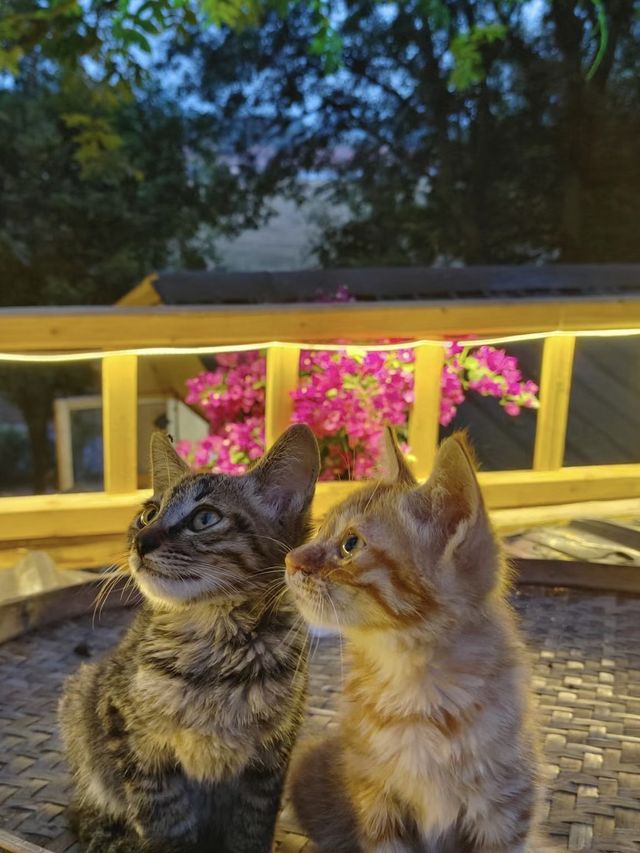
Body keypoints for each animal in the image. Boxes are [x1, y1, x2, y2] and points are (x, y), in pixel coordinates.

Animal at [60, 426, 320, 852]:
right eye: (149, 513)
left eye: (205, 518)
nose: (141, 541)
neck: (215, 644)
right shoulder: (130, 734)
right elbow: (164, 818)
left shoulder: (271, 756)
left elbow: (251, 826)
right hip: (80, 696)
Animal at [288, 432, 544, 852]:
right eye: (321, 530)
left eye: (350, 544)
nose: (289, 559)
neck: (416, 694)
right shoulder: (376, 800)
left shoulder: (507, 808)